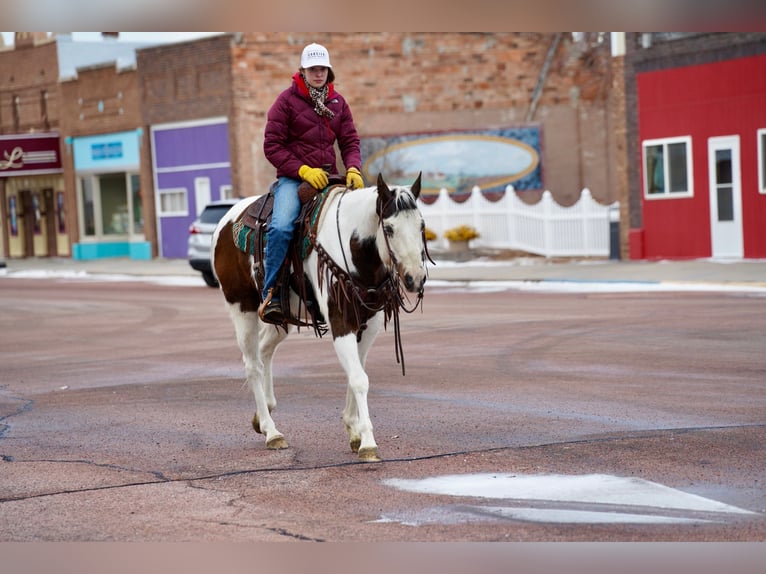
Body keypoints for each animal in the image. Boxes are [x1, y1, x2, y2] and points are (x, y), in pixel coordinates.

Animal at [210, 172, 428, 464]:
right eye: (390, 229)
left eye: (421, 225)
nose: (415, 278)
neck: (353, 249)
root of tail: (226, 220)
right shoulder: (340, 322)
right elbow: (358, 378)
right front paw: (368, 443)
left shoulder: (368, 324)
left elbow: (356, 372)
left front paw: (354, 431)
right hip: (242, 307)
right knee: (252, 365)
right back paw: (271, 431)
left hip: (283, 315)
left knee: (265, 350)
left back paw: (264, 412)